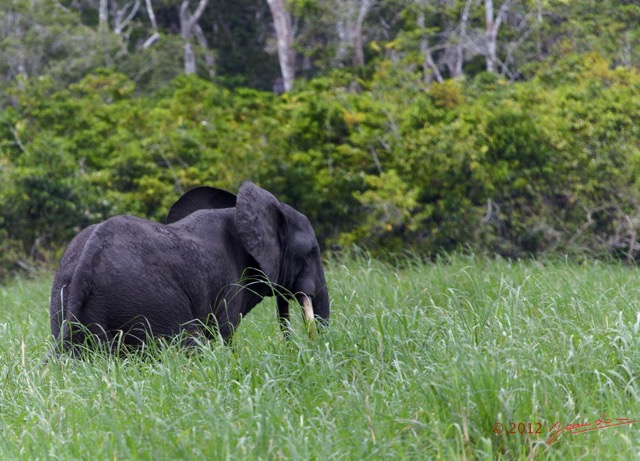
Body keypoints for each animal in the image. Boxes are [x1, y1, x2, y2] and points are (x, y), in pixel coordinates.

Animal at [50, 181, 330, 352]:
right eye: (311, 252)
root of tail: (87, 264)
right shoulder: (230, 282)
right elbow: (225, 331)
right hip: (149, 301)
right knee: (189, 344)